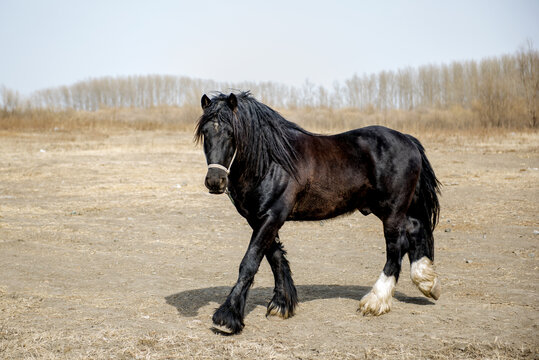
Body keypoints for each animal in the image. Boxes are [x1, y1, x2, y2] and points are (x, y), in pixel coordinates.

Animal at [196, 91, 440, 334]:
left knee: (396, 246)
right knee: (415, 229)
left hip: (392, 210)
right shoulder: (258, 219)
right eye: (205, 132)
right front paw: (282, 304)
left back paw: (376, 300)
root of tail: (408, 140)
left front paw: (227, 316)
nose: (215, 181)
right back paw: (426, 281)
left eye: (231, 133)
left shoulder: (272, 216)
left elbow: (250, 261)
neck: (271, 162)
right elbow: (275, 257)